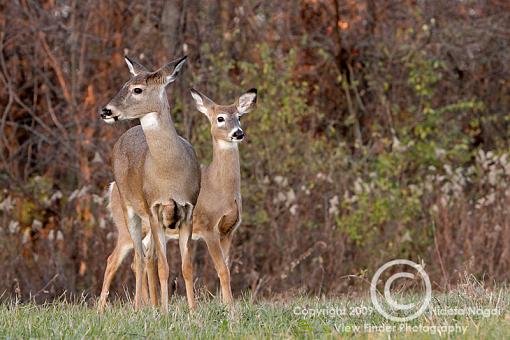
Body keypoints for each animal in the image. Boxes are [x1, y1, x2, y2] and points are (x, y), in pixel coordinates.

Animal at [96, 55, 200, 314]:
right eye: (124, 84)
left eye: (137, 89)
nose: (106, 111)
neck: (170, 174)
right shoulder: (153, 208)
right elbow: (163, 266)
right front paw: (165, 311)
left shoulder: (188, 209)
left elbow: (186, 266)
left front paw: (193, 312)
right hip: (129, 210)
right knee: (137, 258)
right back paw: (130, 307)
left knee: (145, 256)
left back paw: (148, 305)